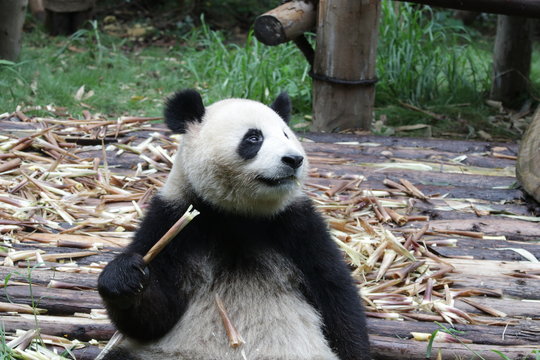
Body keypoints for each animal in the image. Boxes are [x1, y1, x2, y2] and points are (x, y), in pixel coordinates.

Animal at [97, 88, 370, 358]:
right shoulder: (172, 220)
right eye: (254, 138)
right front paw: (124, 276)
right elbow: (154, 318)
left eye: (286, 134)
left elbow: (334, 292)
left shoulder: (297, 225)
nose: (294, 159)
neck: (237, 214)